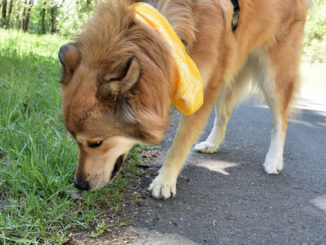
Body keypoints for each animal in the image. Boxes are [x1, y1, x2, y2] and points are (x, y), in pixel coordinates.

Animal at [58, 0, 308, 199]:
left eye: (96, 143)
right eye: (74, 140)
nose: (79, 185)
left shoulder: (201, 94)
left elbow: (179, 144)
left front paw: (164, 181)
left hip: (273, 74)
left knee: (281, 120)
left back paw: (274, 160)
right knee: (224, 114)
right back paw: (211, 143)